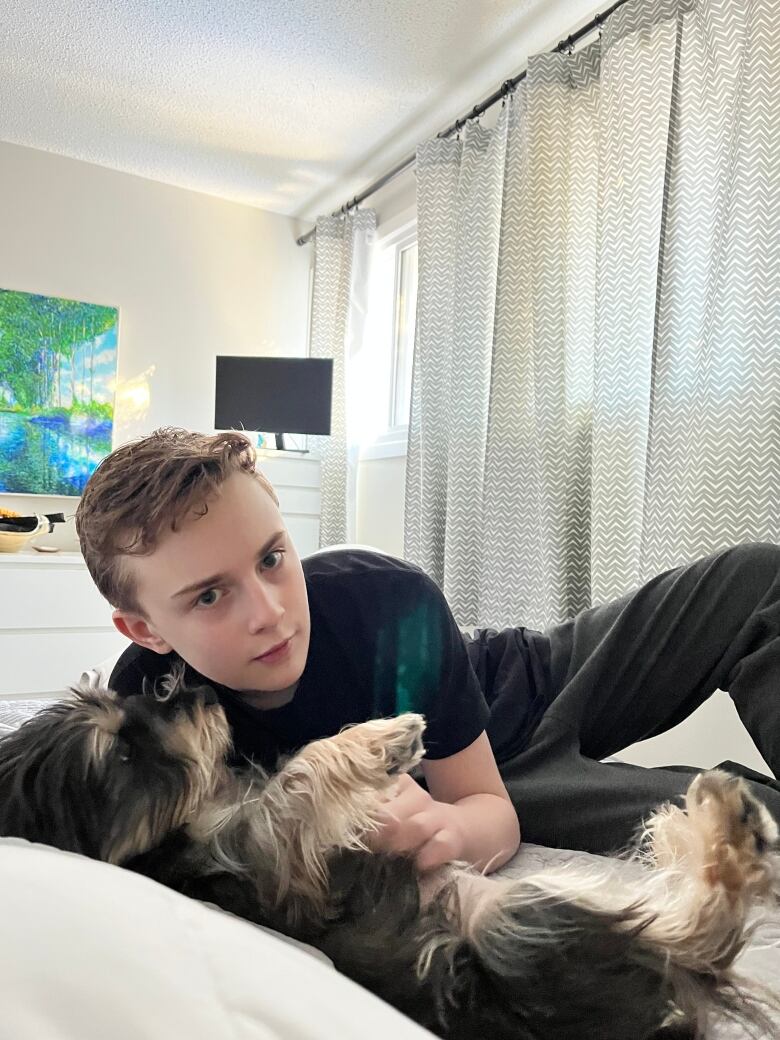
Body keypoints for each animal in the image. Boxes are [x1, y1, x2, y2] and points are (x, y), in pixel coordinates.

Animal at [0, 673, 777, 1040]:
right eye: (122, 756)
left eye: (134, 699)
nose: (190, 690)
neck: (195, 817)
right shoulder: (274, 868)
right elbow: (296, 779)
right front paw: (383, 739)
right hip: (522, 933)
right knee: (696, 932)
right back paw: (729, 825)